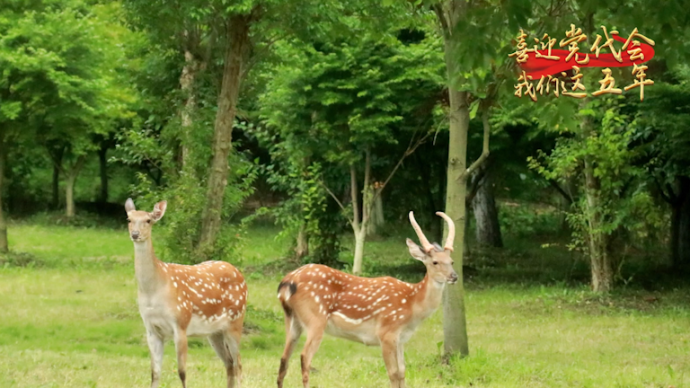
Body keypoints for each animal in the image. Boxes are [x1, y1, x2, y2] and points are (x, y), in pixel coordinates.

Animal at [124, 199, 247, 386]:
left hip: (236, 320)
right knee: (229, 363)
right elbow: (155, 373)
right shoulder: (151, 329)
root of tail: (240, 274)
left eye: (148, 220)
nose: (136, 234)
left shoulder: (180, 323)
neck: (154, 290)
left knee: (238, 364)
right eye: (129, 219)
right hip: (215, 332)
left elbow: (182, 372)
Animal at [274, 211, 456, 388]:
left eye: (452, 261)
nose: (454, 276)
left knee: (284, 359)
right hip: (315, 318)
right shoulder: (386, 332)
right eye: (435, 262)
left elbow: (402, 372)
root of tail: (287, 281)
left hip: (292, 319)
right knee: (304, 357)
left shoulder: (401, 339)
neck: (412, 306)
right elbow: (393, 374)